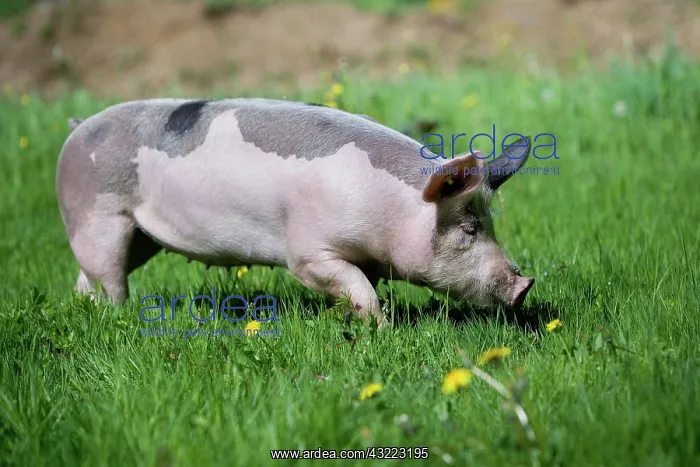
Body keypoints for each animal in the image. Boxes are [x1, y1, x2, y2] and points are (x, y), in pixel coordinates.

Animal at [56, 98, 534, 327]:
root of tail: (78, 127)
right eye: (468, 229)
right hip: (97, 218)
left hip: (141, 237)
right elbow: (356, 288)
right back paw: (120, 315)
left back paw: (86, 308)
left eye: (489, 224)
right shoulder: (307, 252)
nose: (524, 284)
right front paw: (384, 331)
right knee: (109, 278)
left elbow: (364, 285)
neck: (391, 209)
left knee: (87, 279)